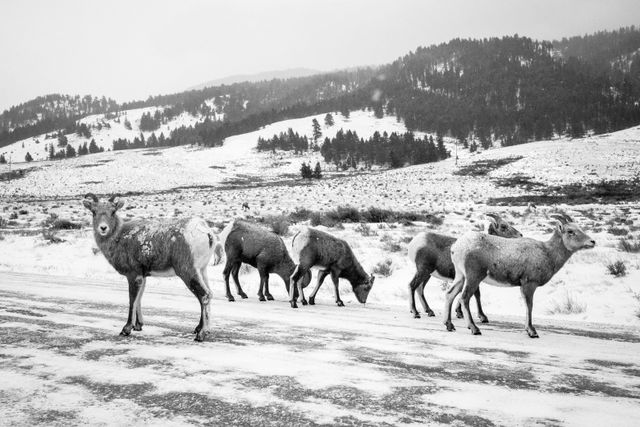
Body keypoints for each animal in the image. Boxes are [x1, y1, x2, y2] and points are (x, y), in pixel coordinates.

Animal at [82, 196, 222, 342]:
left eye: (113, 211)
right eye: (94, 212)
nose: (103, 228)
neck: (119, 237)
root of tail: (207, 233)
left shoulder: (133, 275)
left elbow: (132, 299)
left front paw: (126, 329)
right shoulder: (143, 276)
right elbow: (139, 298)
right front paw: (138, 326)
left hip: (187, 271)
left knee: (204, 295)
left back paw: (201, 334)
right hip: (202, 270)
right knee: (209, 294)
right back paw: (200, 329)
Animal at [444, 213, 596, 338]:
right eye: (570, 231)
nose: (592, 242)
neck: (548, 254)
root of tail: (456, 247)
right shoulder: (529, 284)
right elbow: (529, 306)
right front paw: (532, 332)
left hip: (461, 276)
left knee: (450, 294)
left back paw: (449, 325)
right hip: (473, 277)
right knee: (464, 298)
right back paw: (474, 329)